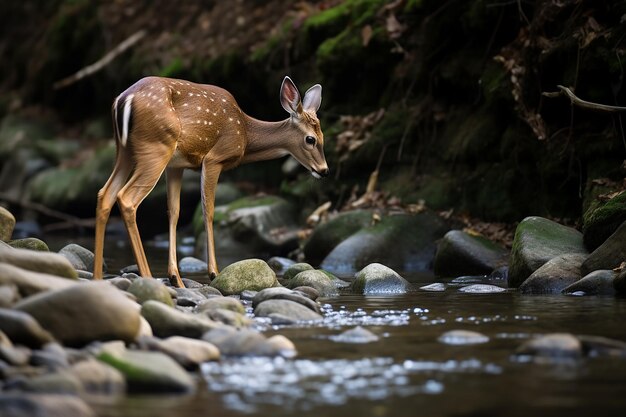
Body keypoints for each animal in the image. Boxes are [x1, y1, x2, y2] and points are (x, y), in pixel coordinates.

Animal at [94, 75, 326, 286]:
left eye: (323, 137)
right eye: (310, 139)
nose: (324, 170)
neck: (245, 135)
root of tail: (123, 100)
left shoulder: (176, 166)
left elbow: (174, 211)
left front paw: (175, 277)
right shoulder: (215, 158)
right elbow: (209, 210)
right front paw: (214, 272)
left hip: (126, 151)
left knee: (105, 193)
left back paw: (97, 277)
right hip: (156, 147)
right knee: (126, 198)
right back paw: (147, 275)